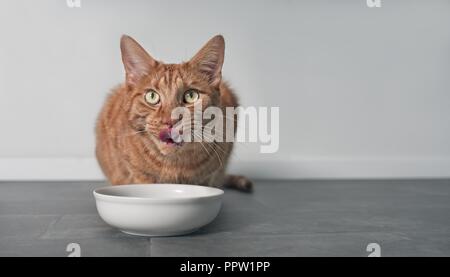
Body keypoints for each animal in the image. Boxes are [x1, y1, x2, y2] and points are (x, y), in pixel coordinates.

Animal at [95, 34, 253, 191]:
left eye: (191, 95)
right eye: (152, 96)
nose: (170, 121)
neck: (173, 166)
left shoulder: (209, 176)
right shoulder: (136, 173)